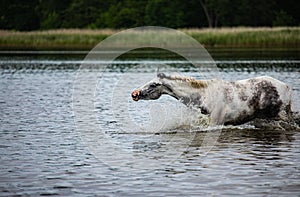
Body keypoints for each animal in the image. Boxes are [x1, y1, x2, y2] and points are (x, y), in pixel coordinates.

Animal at [131, 72, 290, 126]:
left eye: (153, 85)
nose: (135, 94)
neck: (202, 95)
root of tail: (286, 87)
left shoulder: (215, 121)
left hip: (281, 114)